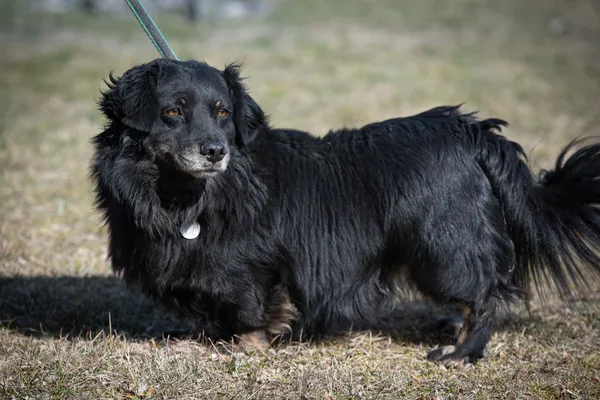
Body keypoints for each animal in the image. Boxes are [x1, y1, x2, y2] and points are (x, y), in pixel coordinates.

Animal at [91, 57, 600, 364]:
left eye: (222, 111)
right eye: (173, 112)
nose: (217, 152)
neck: (186, 195)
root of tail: (470, 131)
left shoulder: (251, 271)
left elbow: (248, 310)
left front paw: (248, 349)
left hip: (442, 246)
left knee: (486, 295)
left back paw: (460, 352)